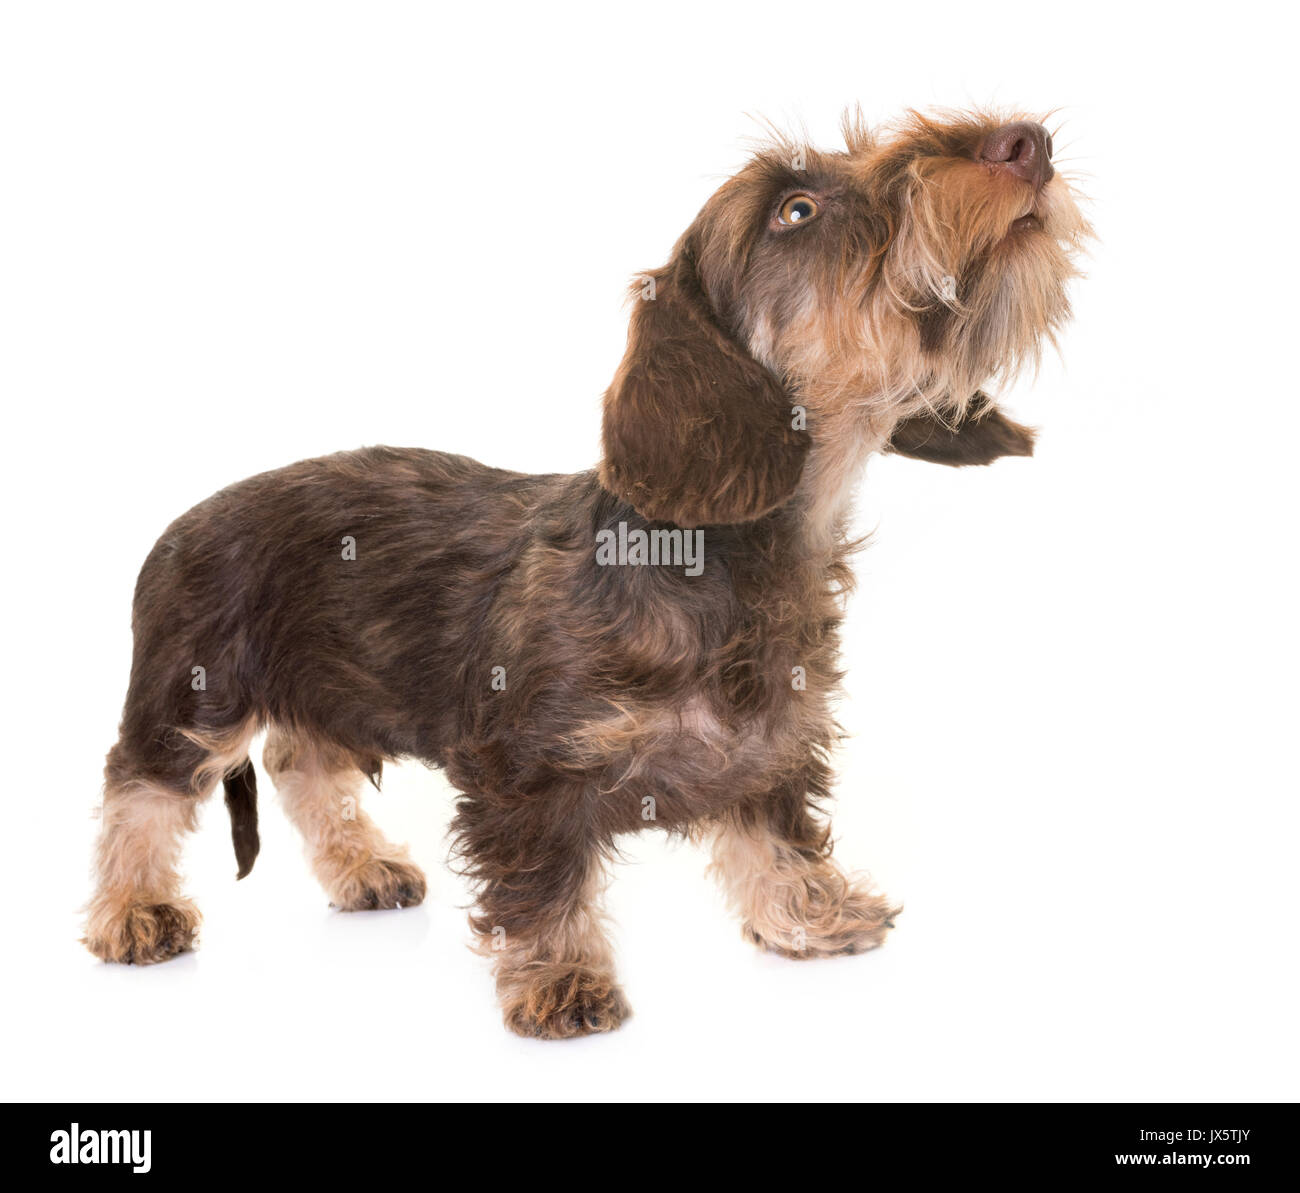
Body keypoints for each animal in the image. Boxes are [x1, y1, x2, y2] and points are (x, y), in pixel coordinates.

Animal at [86, 114, 1092, 1044]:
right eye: (795, 211)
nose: (1023, 145)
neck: (721, 552)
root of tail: (183, 523)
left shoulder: (775, 749)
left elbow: (775, 836)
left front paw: (809, 913)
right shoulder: (523, 773)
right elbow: (543, 884)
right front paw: (562, 981)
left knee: (303, 765)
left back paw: (361, 865)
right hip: (198, 693)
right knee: (140, 790)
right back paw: (133, 913)